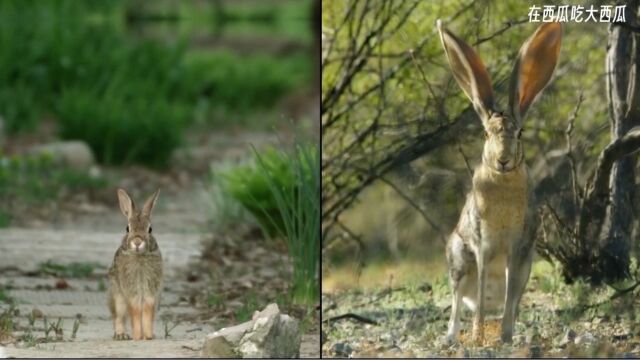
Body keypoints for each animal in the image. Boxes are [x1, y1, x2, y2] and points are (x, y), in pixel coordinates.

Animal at [107, 188, 164, 340]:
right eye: (127, 228)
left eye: (150, 229)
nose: (137, 242)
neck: (140, 257)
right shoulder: (131, 292)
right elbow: (136, 311)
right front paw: (138, 337)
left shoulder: (150, 293)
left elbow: (147, 311)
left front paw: (148, 336)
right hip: (118, 299)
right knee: (118, 317)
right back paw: (121, 335)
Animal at [438, 20, 564, 346]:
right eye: (486, 134)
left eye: (519, 133)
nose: (504, 160)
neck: (504, 180)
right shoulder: (483, 244)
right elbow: (481, 293)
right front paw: (478, 337)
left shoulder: (518, 248)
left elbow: (512, 300)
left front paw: (505, 338)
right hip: (458, 259)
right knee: (459, 303)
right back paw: (453, 337)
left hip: (524, 263)